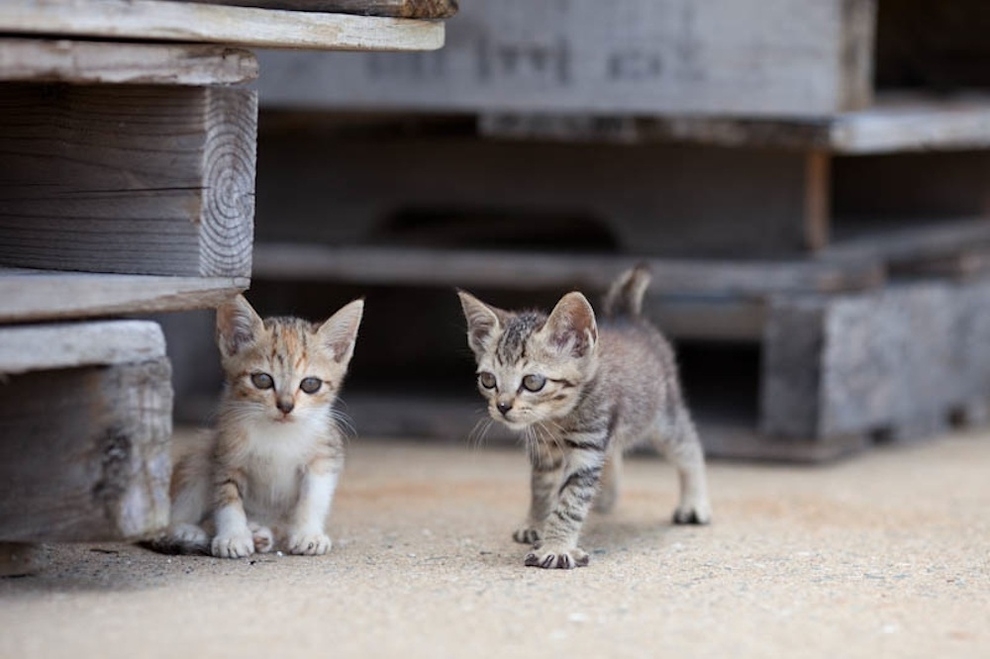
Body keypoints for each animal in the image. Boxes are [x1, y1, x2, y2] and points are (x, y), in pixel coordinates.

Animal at [149, 296, 362, 560]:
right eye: (262, 380)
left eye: (310, 384)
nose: (286, 406)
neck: (279, 434)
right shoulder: (226, 455)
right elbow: (227, 498)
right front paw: (233, 536)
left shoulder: (323, 456)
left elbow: (313, 499)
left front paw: (308, 534)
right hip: (201, 452)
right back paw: (188, 531)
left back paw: (259, 532)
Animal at [460, 266, 712, 568]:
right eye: (488, 380)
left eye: (532, 382)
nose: (502, 406)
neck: (556, 418)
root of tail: (626, 318)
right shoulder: (545, 450)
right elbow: (541, 487)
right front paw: (536, 522)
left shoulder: (587, 447)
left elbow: (570, 502)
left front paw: (556, 546)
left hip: (664, 416)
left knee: (689, 448)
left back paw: (694, 503)